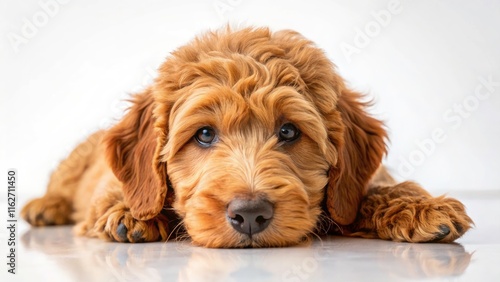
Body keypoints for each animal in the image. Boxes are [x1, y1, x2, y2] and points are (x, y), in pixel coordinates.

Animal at [20, 26, 472, 247]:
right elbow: (114, 194)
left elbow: (371, 189)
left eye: (288, 131)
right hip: (74, 161)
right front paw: (132, 214)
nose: (251, 214)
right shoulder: (111, 182)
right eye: (204, 134)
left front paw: (420, 206)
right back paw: (44, 206)